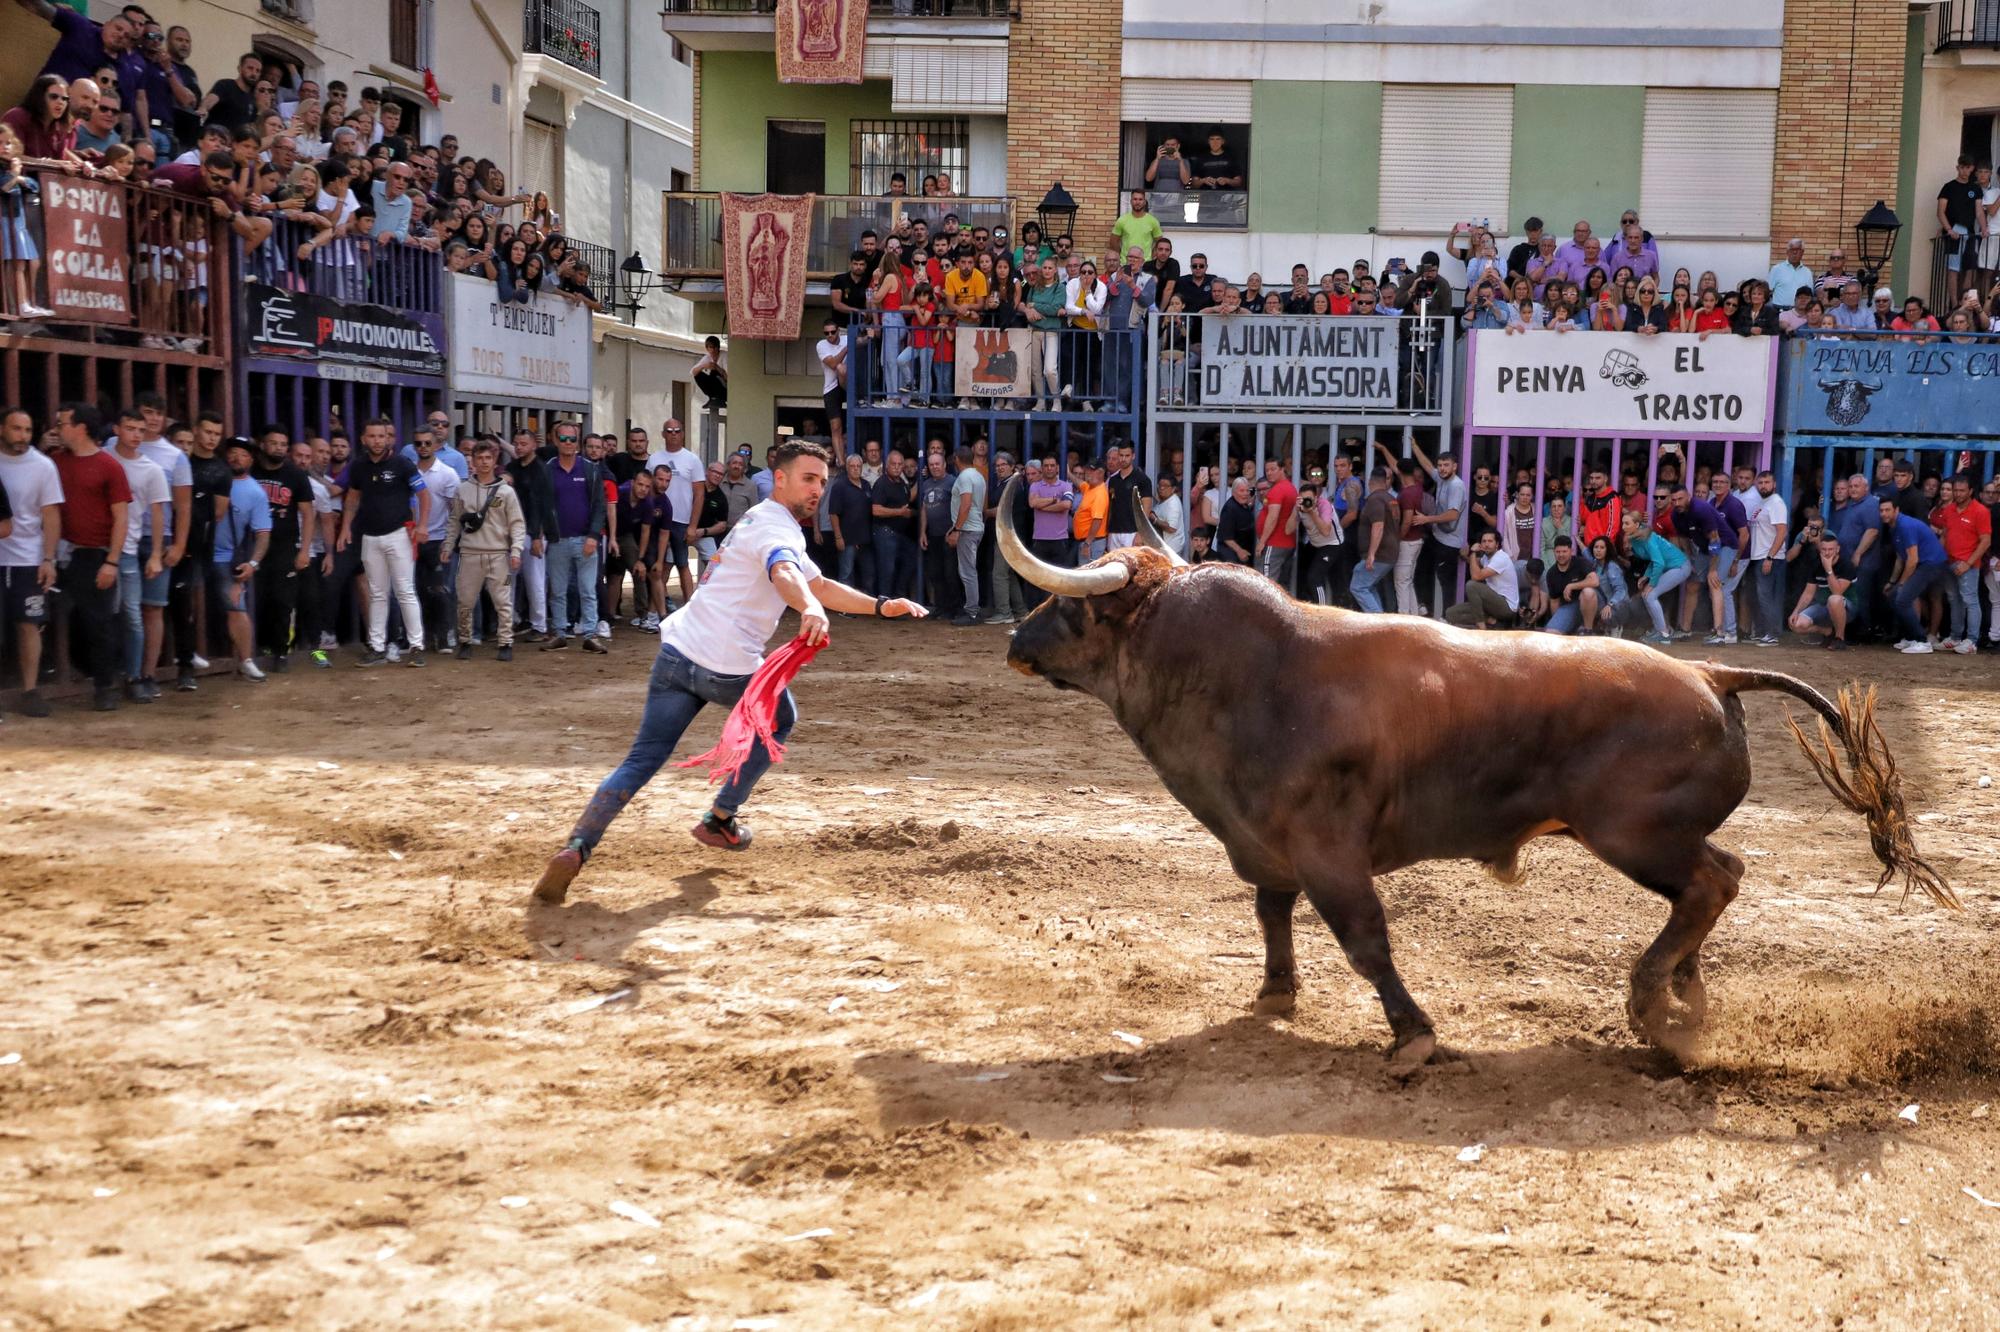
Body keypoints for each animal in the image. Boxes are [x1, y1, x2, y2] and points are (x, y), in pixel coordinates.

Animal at [1000, 478, 1952, 1056]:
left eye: (1069, 606)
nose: (1015, 640)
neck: (1248, 675)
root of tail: (1710, 675)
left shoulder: (1330, 854)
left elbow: (1366, 942)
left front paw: (1412, 1033)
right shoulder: (1267, 846)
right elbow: (1273, 916)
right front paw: (1274, 995)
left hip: (1636, 834)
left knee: (1713, 882)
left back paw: (1651, 1000)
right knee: (1714, 885)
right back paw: (1687, 994)